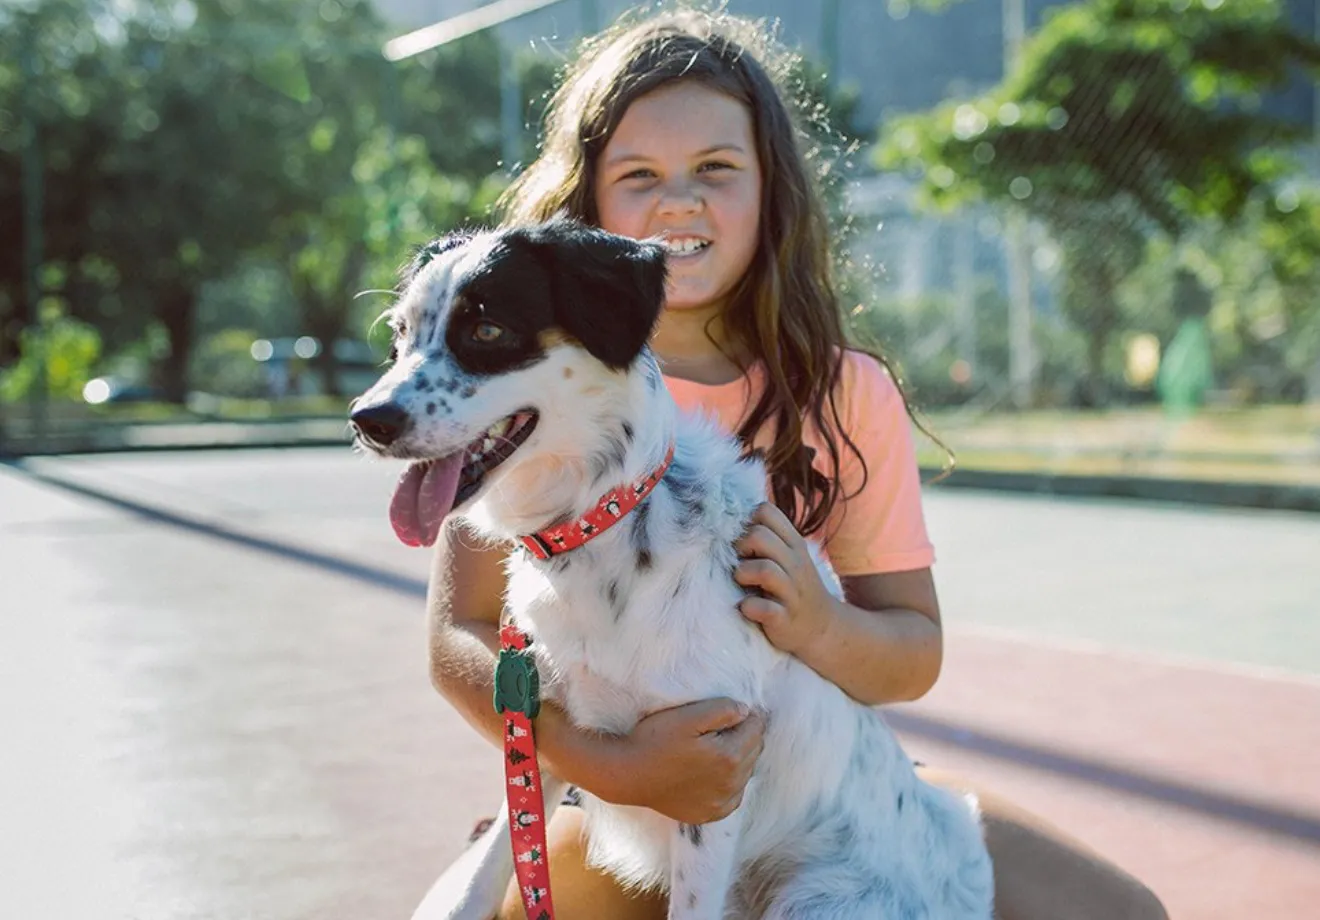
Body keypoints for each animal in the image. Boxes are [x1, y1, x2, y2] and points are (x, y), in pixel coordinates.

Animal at [351, 219, 992, 913]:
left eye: (488, 330)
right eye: (400, 338)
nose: (366, 420)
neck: (605, 523)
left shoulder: (716, 776)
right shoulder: (539, 733)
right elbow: (495, 860)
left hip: (815, 897)